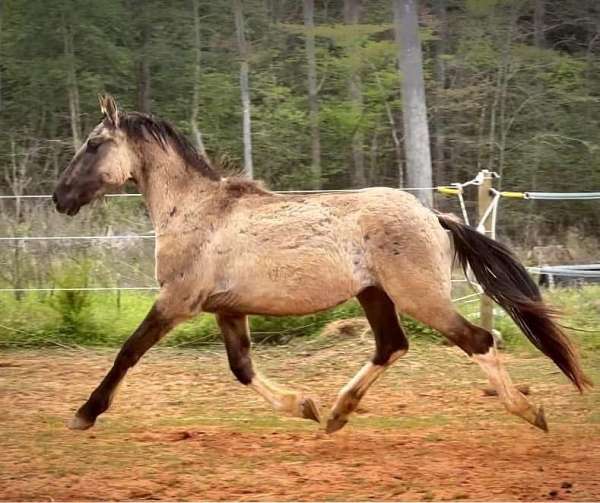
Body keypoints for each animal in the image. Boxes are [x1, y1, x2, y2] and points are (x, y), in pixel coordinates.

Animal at [52, 95, 592, 434]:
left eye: (94, 144)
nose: (60, 197)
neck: (196, 211)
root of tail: (435, 217)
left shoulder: (176, 301)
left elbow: (128, 352)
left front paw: (84, 413)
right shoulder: (227, 309)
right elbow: (242, 368)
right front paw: (304, 406)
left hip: (420, 297)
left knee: (478, 339)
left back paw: (530, 412)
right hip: (375, 295)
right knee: (392, 346)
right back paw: (336, 413)